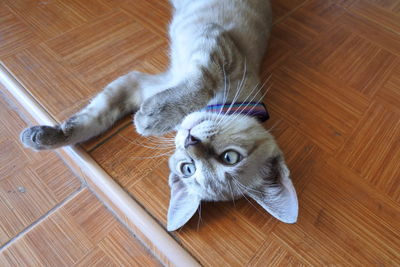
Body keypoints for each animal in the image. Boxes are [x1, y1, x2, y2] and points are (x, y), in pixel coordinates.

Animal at [20, 0, 298, 232]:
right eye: (230, 157)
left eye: (188, 168)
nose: (190, 141)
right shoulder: (215, 45)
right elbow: (201, 84)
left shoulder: (140, 84)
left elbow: (94, 119)